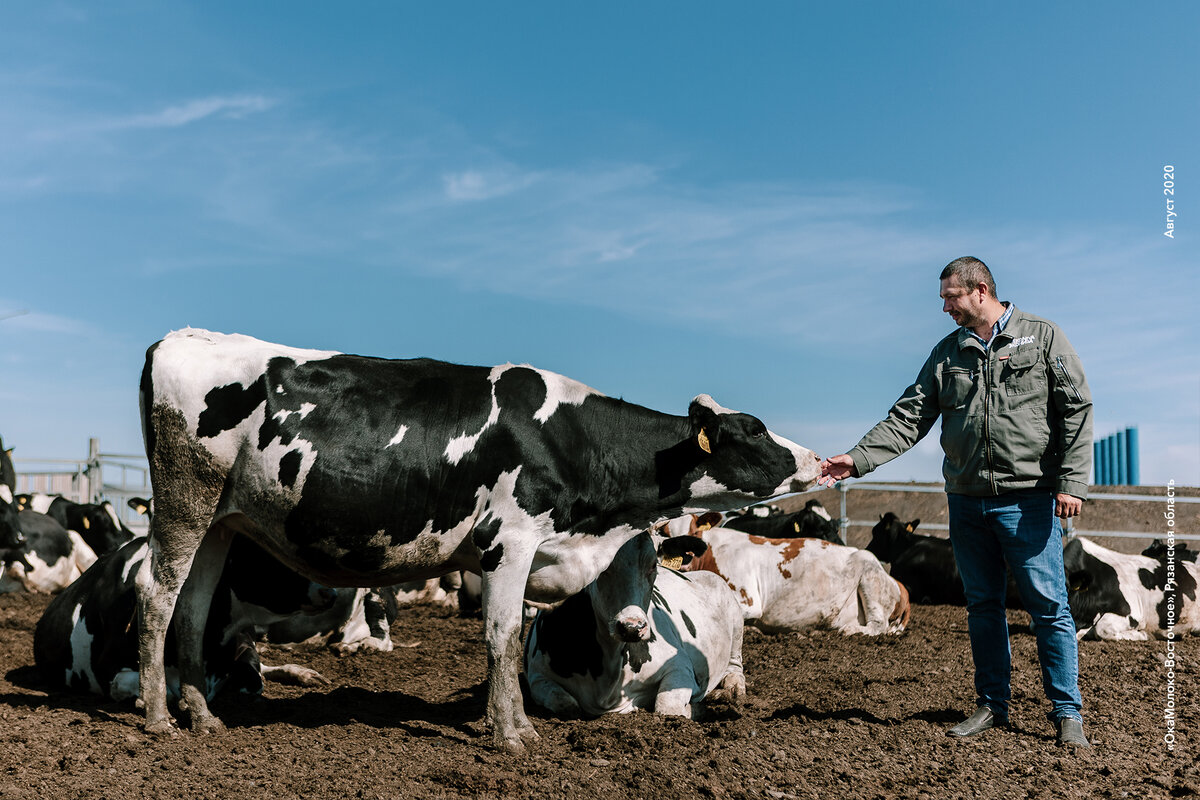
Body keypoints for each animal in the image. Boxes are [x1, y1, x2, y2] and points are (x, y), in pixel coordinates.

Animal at [35, 537, 331, 700]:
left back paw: (303, 673)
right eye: (264, 551)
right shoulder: (107, 669)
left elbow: (253, 676)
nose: (330, 590)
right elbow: (163, 690)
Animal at [523, 532, 739, 719]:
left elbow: (667, 708)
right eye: (601, 567)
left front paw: (695, 708)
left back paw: (731, 688)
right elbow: (567, 706)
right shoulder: (537, 676)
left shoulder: (679, 665)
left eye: (653, 565)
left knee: (736, 663)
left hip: (734, 612)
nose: (632, 627)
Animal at [657, 515, 907, 633]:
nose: (685, 560)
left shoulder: (750, 600)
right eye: (667, 535)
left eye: (695, 532)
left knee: (877, 625)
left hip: (870, 574)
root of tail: (897, 583)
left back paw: (850, 630)